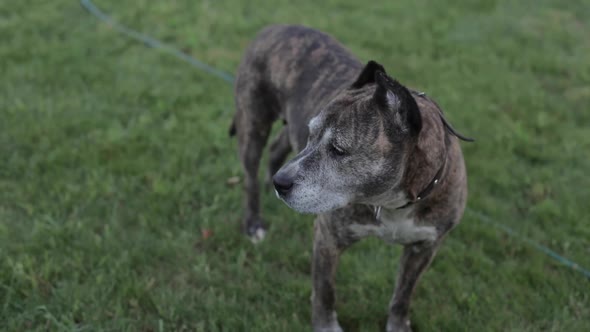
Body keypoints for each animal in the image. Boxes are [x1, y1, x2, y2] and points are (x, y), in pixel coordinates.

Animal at [230, 24, 472, 332]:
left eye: (338, 149)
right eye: (312, 135)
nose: (280, 183)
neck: (392, 202)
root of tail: (275, 27)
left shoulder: (424, 248)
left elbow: (403, 295)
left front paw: (398, 325)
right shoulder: (328, 239)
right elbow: (325, 291)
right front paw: (326, 326)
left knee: (276, 148)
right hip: (253, 123)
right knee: (249, 175)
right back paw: (254, 222)